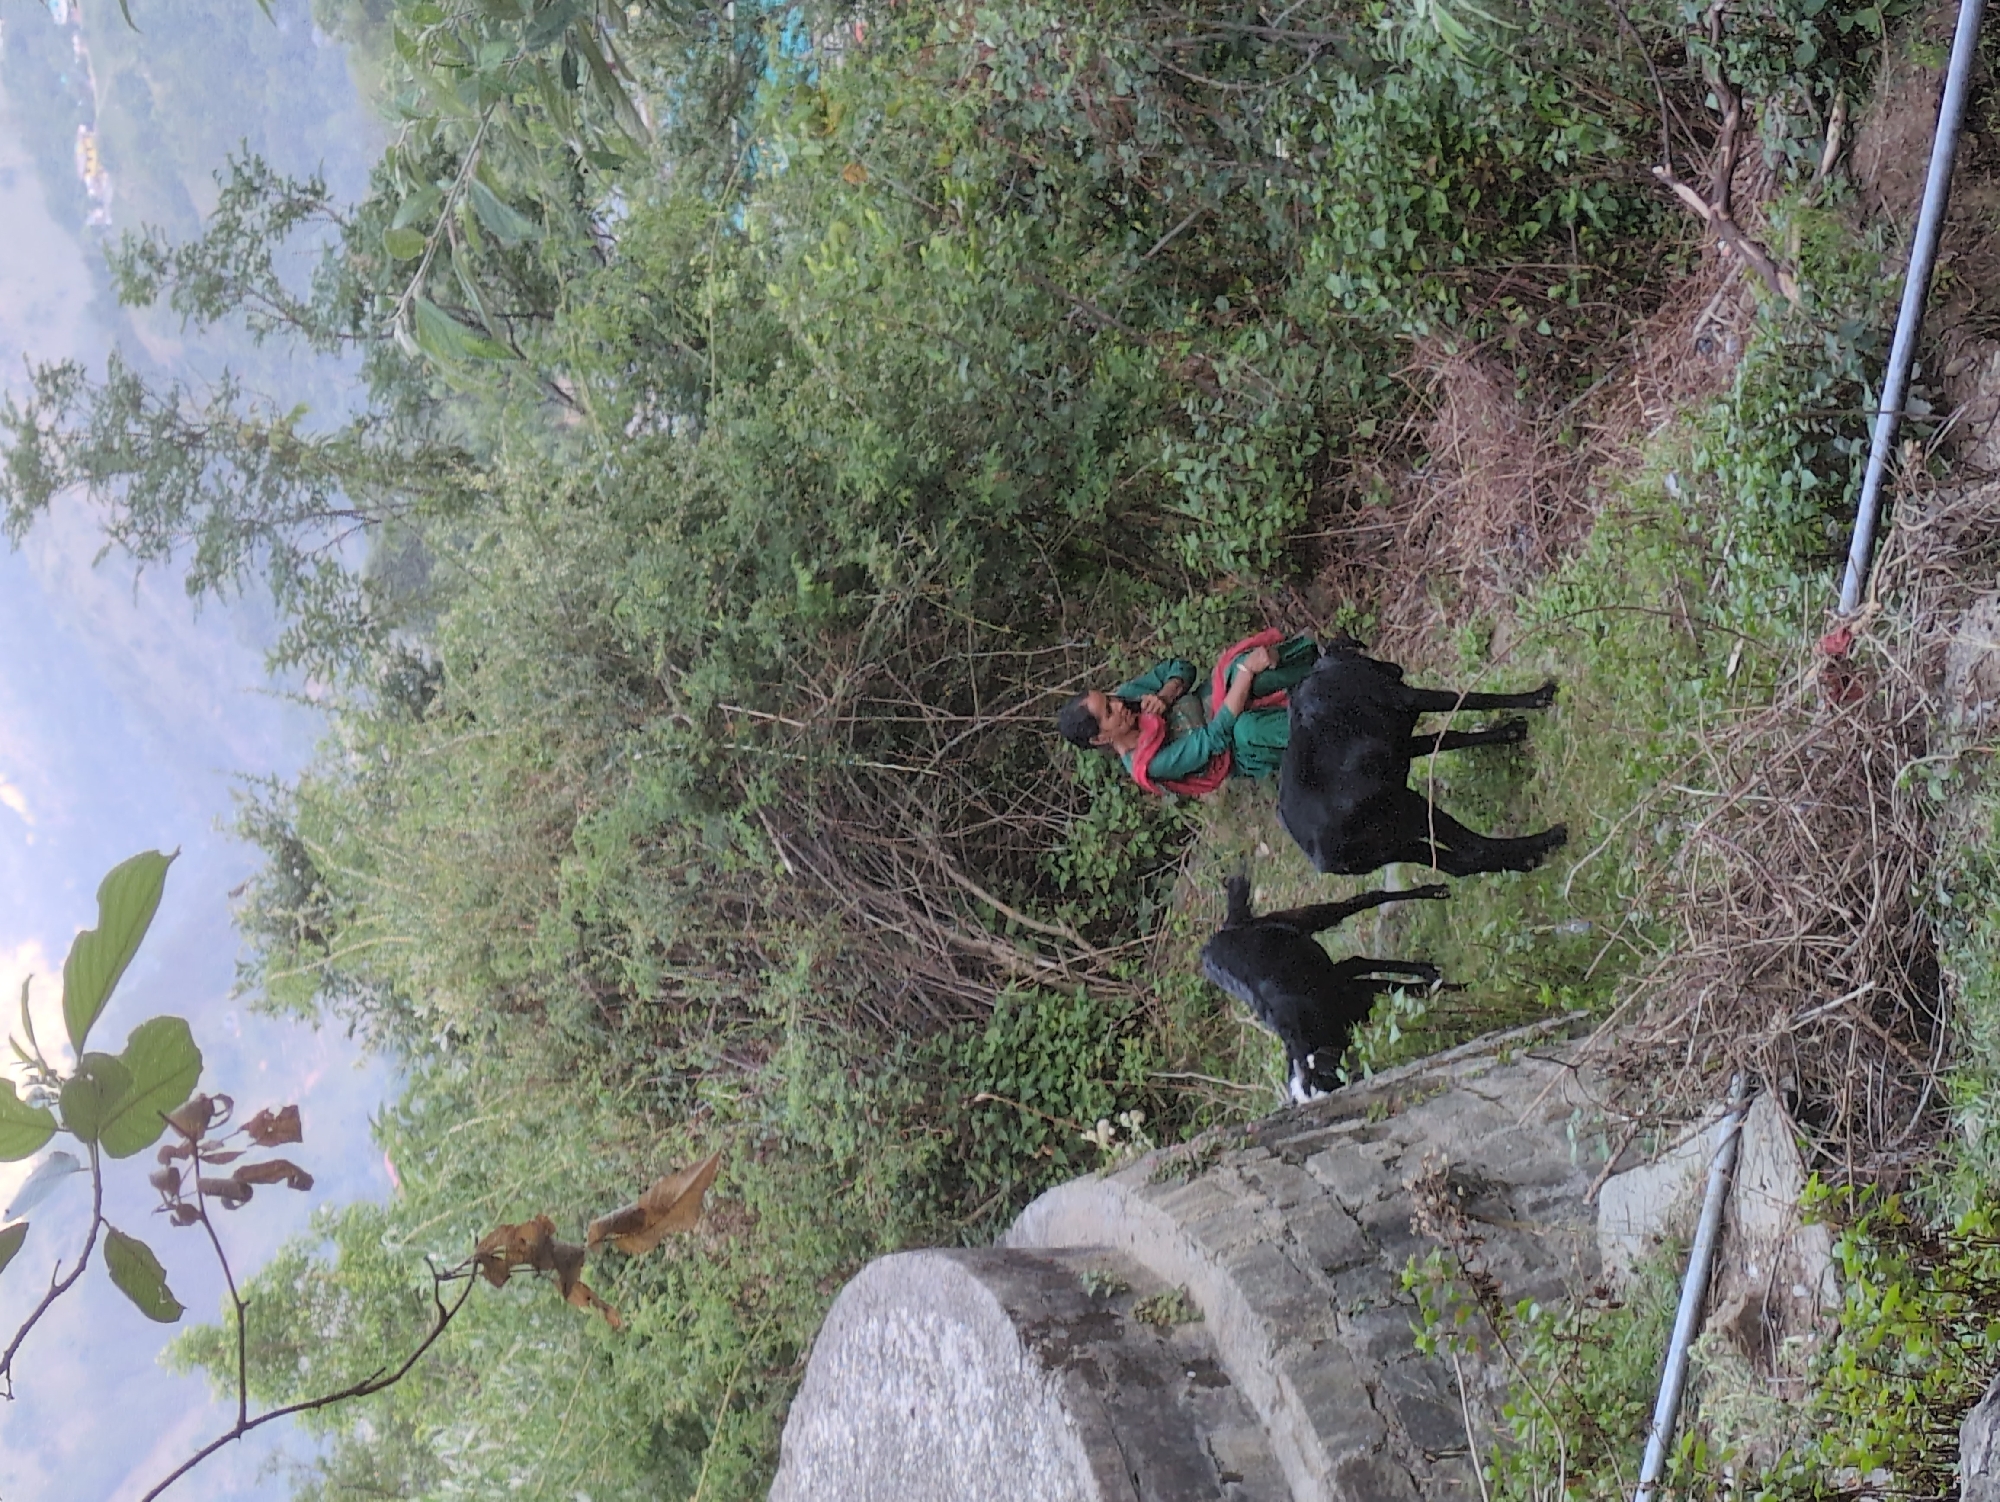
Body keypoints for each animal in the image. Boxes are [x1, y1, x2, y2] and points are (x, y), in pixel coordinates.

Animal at [1201, 875, 1455, 1103]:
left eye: (1326, 1078)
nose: (1358, 1079)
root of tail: (1225, 929)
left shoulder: (1350, 993)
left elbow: (1402, 987)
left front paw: (1447, 985)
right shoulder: (1355, 1000)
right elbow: (1397, 988)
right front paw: (1439, 983)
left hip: (1307, 920)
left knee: (1366, 899)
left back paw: (1436, 891)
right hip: (1332, 968)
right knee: (1357, 961)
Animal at [1277, 639, 1567, 878]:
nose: (1395, 667)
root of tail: (1324, 859)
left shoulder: (1406, 743)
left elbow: (1450, 735)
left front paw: (1509, 732)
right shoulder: (1411, 697)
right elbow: (1472, 698)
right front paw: (1537, 696)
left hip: (1399, 844)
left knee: (1463, 864)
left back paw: (1528, 860)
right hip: (1410, 808)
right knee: (1475, 847)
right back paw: (1547, 839)